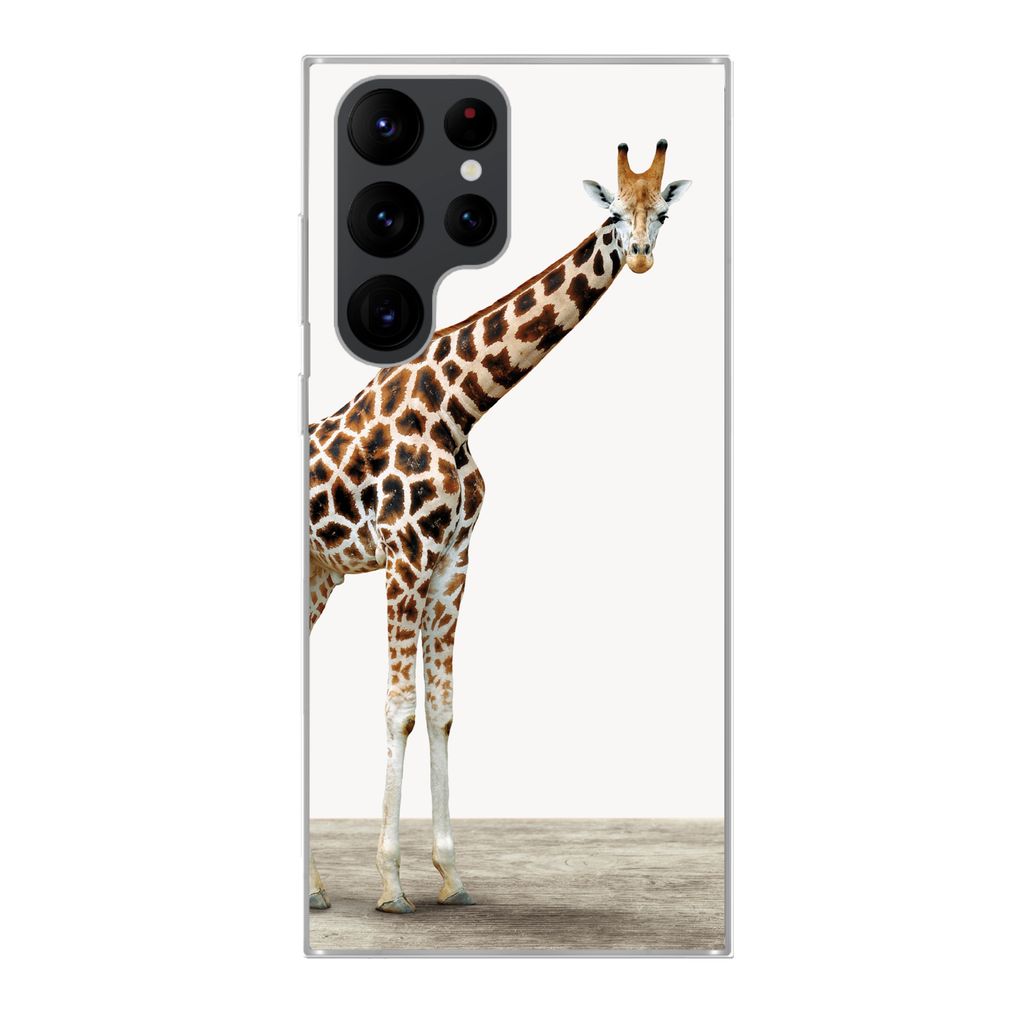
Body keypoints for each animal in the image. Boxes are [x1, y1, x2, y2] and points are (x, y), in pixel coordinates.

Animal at [308, 140, 690, 913]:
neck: (459, 404)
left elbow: (443, 709)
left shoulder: (452, 559)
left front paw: (451, 876)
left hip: (318, 575)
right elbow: (399, 709)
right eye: (613, 211)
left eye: (662, 212)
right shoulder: (404, 557)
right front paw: (391, 885)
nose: (639, 256)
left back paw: (315, 889)